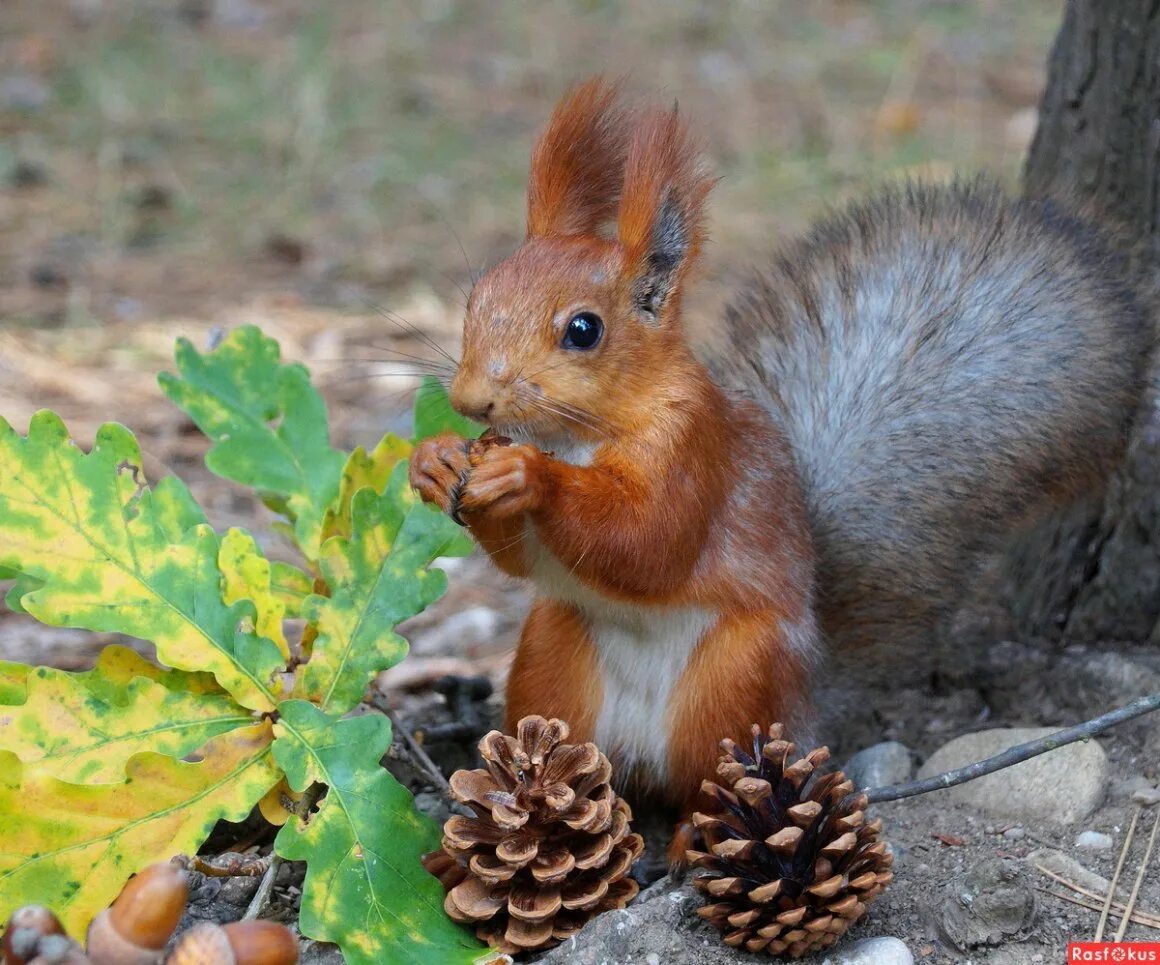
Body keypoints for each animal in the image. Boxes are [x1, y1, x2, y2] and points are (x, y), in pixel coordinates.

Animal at [408, 75, 1150, 858]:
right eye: (477, 296)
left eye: (584, 329)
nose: (472, 399)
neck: (577, 435)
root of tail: (809, 701)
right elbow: (522, 560)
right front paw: (436, 460)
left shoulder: (696, 449)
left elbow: (649, 542)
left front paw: (528, 476)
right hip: (554, 664)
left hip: (737, 681)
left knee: (713, 778)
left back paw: (691, 839)